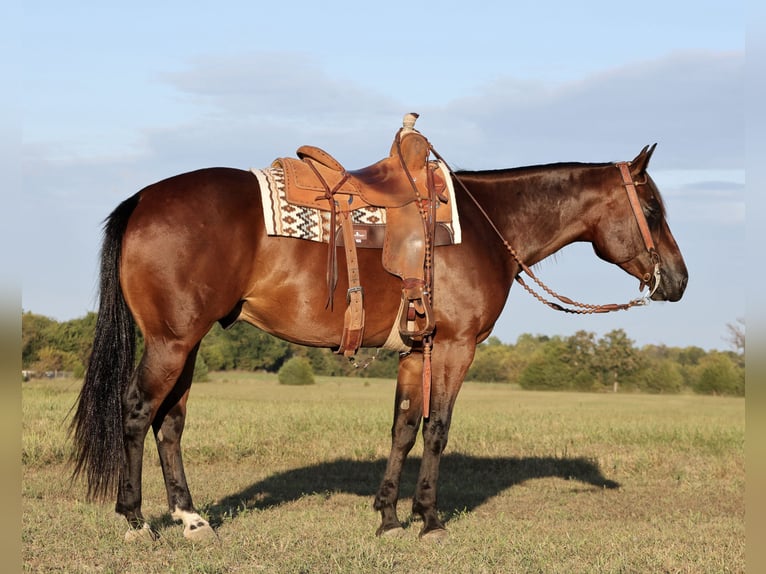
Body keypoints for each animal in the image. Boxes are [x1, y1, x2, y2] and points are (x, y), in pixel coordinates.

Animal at [70, 140, 688, 544]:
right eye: (652, 209)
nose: (678, 282)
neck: (487, 226)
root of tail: (144, 200)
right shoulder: (455, 346)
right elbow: (437, 430)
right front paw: (429, 520)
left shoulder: (417, 351)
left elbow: (404, 428)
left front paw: (389, 516)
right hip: (171, 342)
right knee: (136, 412)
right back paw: (135, 520)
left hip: (187, 343)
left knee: (169, 422)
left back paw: (191, 518)